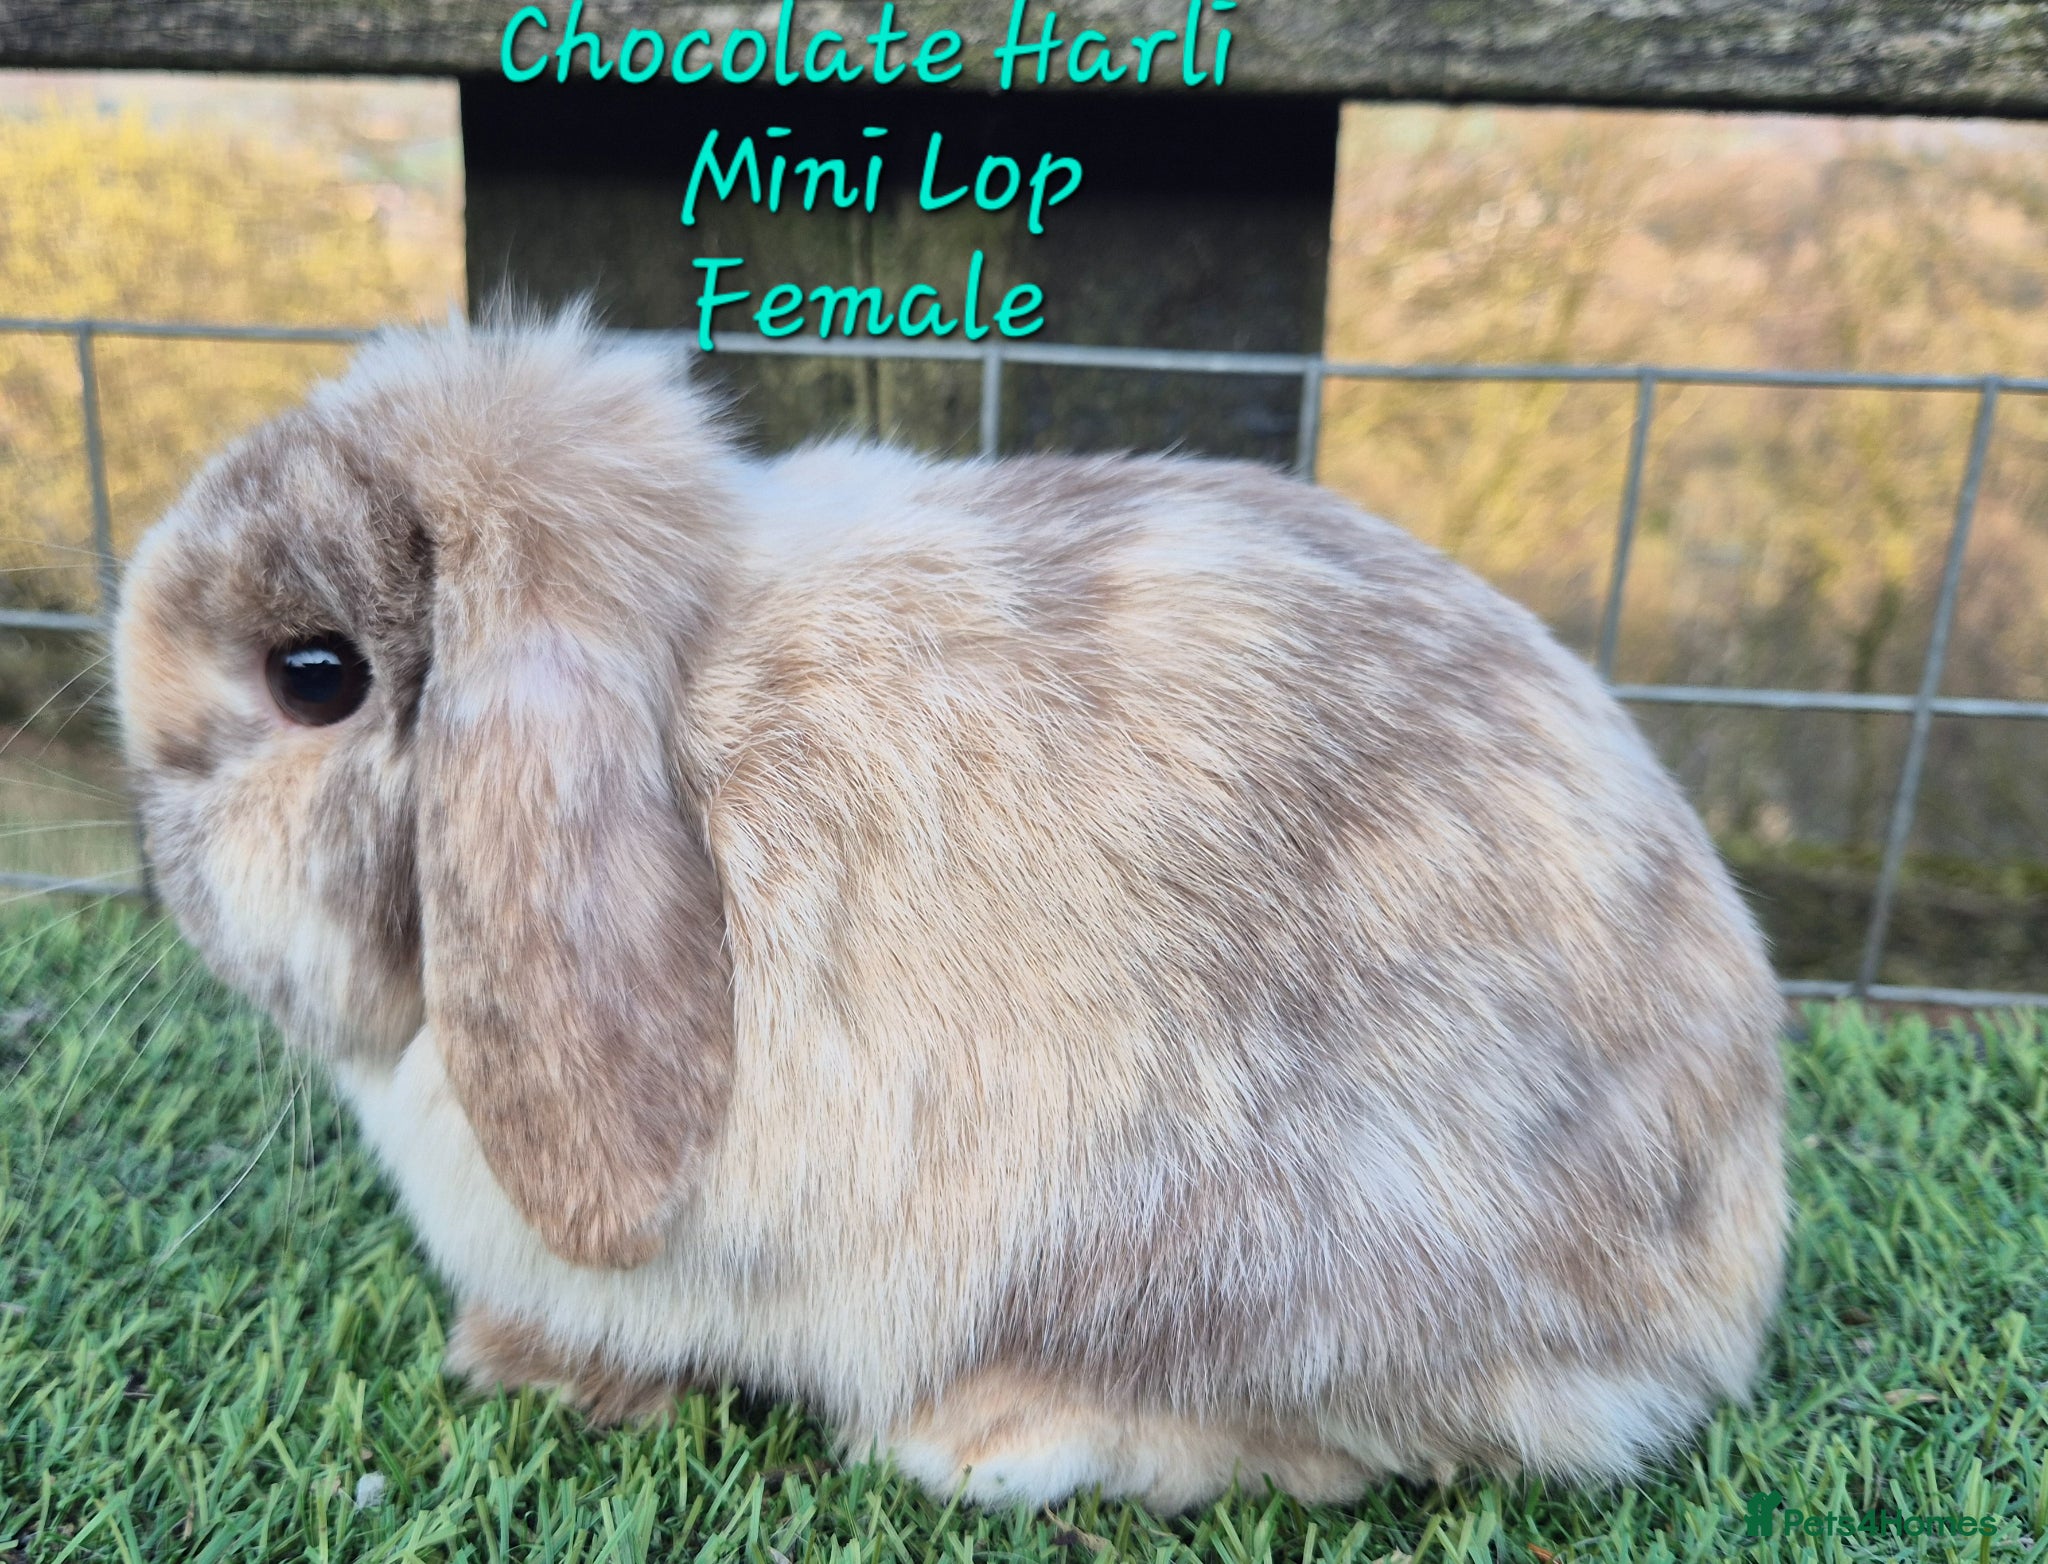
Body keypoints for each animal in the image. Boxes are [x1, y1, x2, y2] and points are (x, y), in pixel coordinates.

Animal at [112, 305, 1787, 1514]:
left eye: (312, 675)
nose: (158, 869)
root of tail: (1712, 1299)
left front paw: (521, 1368)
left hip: (1233, 1257)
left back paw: (989, 1440)